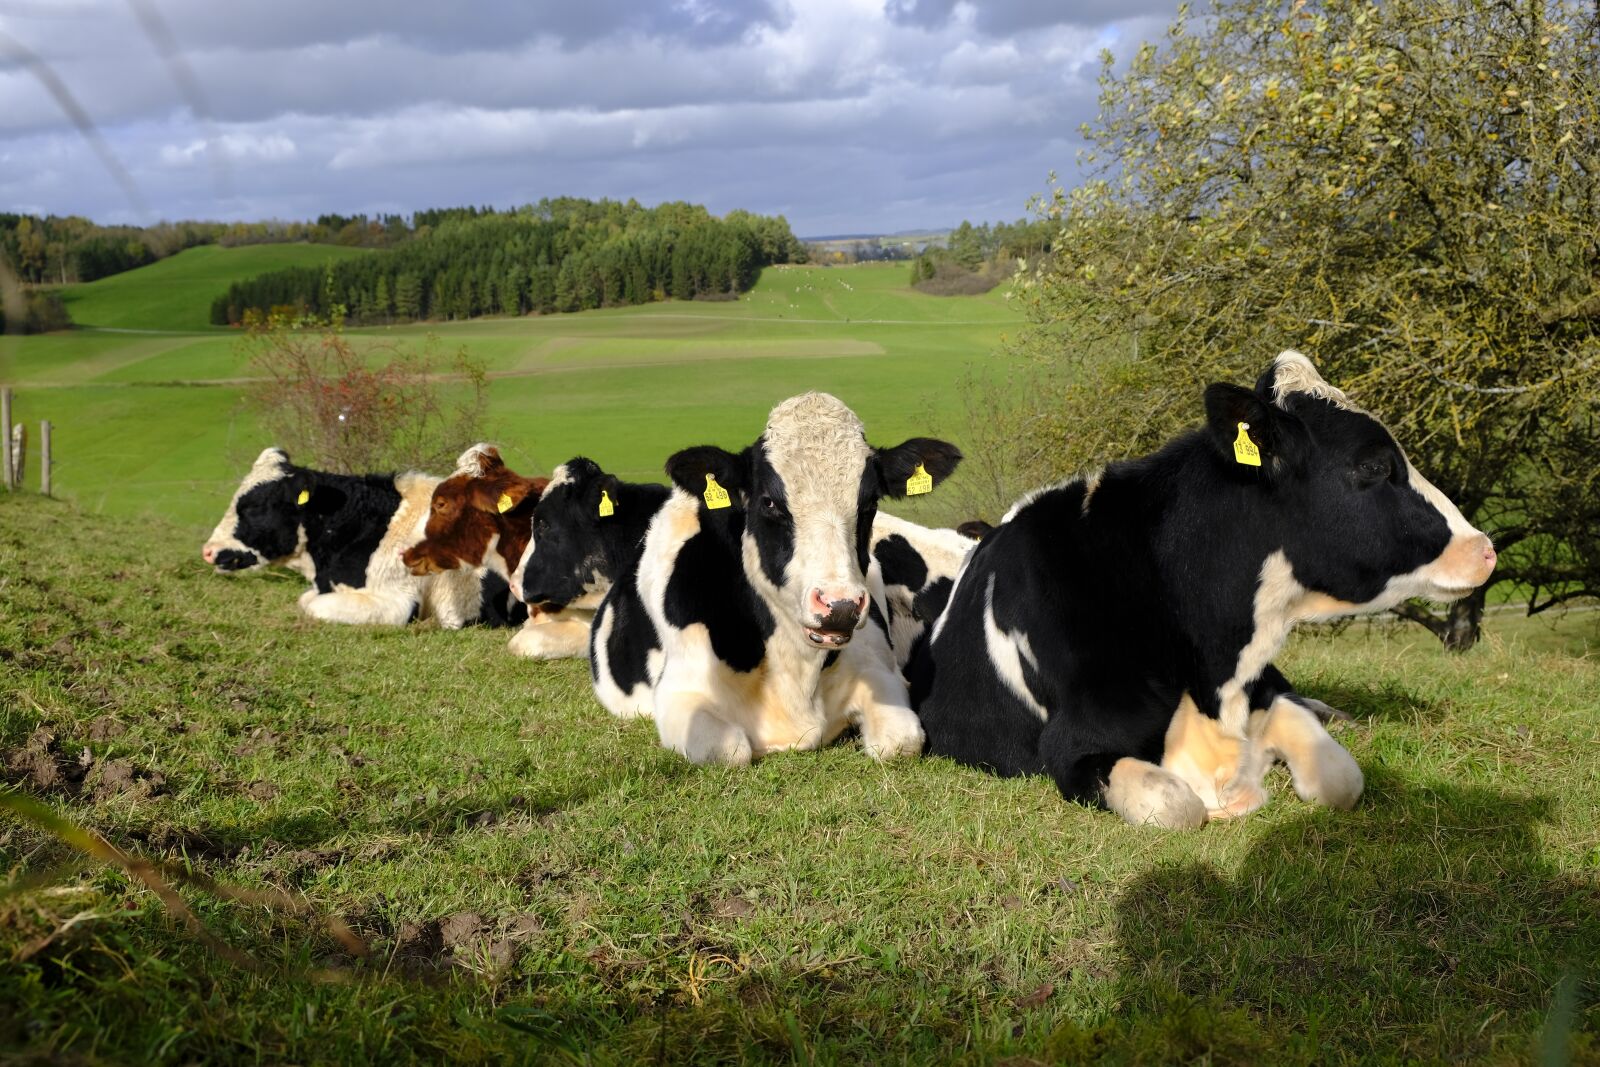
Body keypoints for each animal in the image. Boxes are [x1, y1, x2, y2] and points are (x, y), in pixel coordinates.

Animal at [597, 392, 962, 765]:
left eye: (871, 502)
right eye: (769, 502)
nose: (840, 606)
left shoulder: (882, 672)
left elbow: (900, 741)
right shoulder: (680, 692)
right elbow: (729, 750)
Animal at [908, 352, 1496, 828]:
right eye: (1374, 464)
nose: (1485, 549)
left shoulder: (1262, 688)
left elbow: (1342, 778)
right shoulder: (1073, 749)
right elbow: (1178, 804)